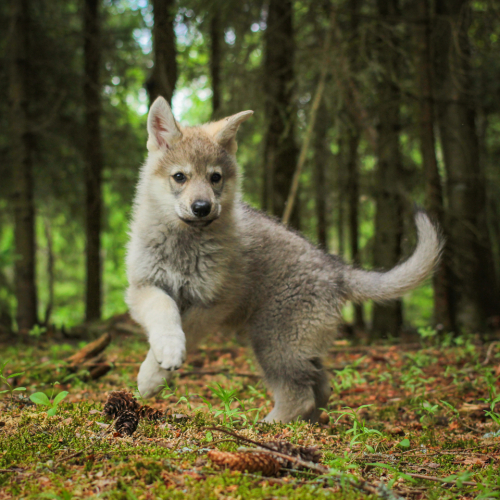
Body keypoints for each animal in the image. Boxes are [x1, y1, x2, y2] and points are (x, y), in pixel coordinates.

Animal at [126, 96, 442, 422]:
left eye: (215, 178)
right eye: (180, 177)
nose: (202, 207)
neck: (186, 242)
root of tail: (336, 270)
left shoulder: (211, 304)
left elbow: (183, 326)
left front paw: (153, 375)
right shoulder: (143, 287)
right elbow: (164, 310)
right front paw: (161, 360)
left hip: (274, 340)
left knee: (299, 394)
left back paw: (266, 425)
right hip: (293, 344)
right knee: (320, 386)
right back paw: (309, 424)